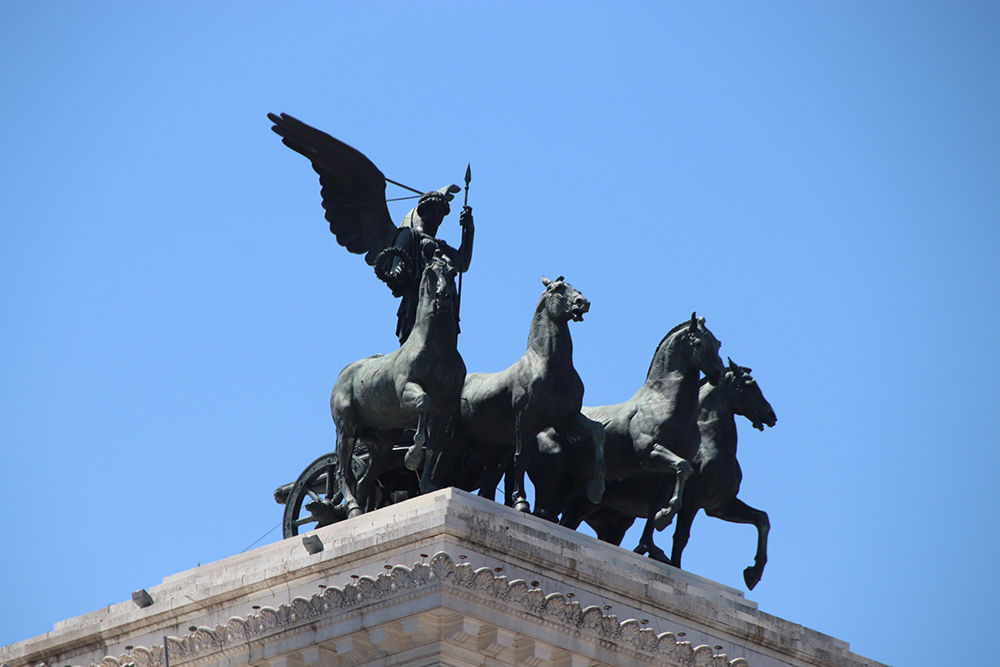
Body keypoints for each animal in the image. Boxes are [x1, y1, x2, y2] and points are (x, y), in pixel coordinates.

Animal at [332, 250, 464, 516]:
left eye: (452, 272)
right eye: (430, 271)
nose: (443, 296)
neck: (437, 350)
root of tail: (343, 374)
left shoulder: (445, 409)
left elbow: (434, 446)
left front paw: (427, 485)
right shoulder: (407, 392)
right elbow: (424, 402)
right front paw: (412, 456)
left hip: (381, 444)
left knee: (365, 480)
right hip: (346, 431)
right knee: (343, 472)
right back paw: (353, 508)